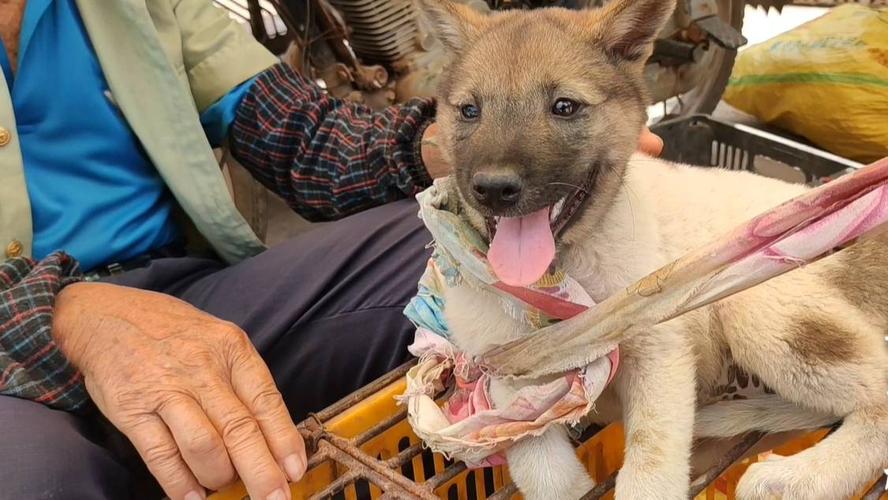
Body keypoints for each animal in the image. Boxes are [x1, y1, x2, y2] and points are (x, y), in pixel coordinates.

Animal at [416, 0, 888, 498]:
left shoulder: (659, 353)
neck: (563, 274)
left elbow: (650, 465)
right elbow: (543, 468)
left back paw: (801, 475)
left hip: (758, 304)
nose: (493, 188)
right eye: (469, 110)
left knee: (880, 401)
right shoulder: (505, 374)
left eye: (564, 107)